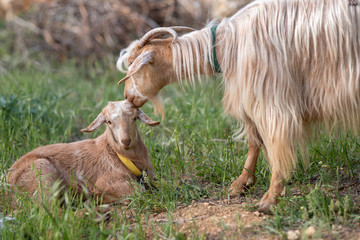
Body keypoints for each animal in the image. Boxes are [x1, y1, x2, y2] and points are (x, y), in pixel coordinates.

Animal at [6, 100, 159, 205]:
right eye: (109, 121)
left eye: (134, 118)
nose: (125, 141)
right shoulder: (106, 181)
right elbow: (139, 192)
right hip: (42, 174)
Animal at [116, 0, 360, 213]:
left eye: (133, 65)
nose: (127, 96)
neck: (225, 44)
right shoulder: (250, 97)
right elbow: (254, 140)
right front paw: (242, 183)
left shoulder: (273, 97)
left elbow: (276, 143)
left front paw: (271, 198)